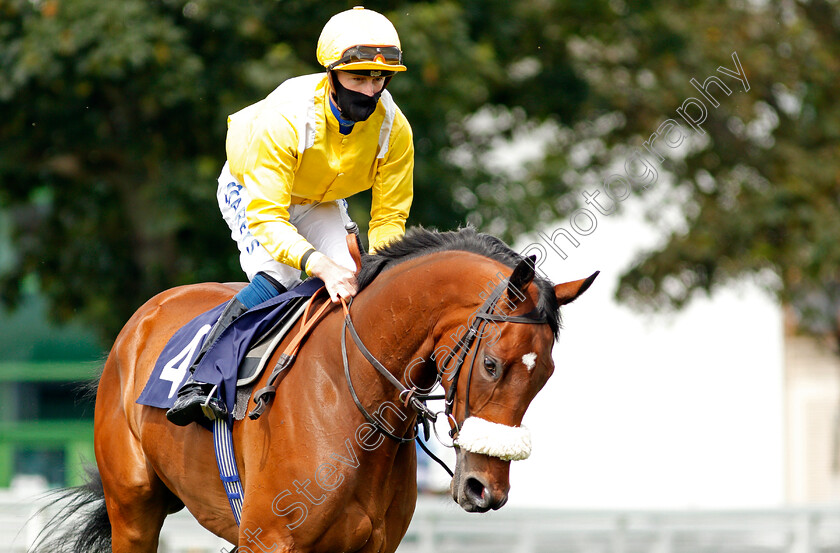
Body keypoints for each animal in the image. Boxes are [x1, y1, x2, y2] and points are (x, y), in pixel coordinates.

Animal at [34, 226, 596, 548]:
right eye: (493, 366)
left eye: (544, 375)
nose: (486, 489)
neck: (351, 402)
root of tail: (143, 317)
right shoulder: (268, 540)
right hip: (134, 507)